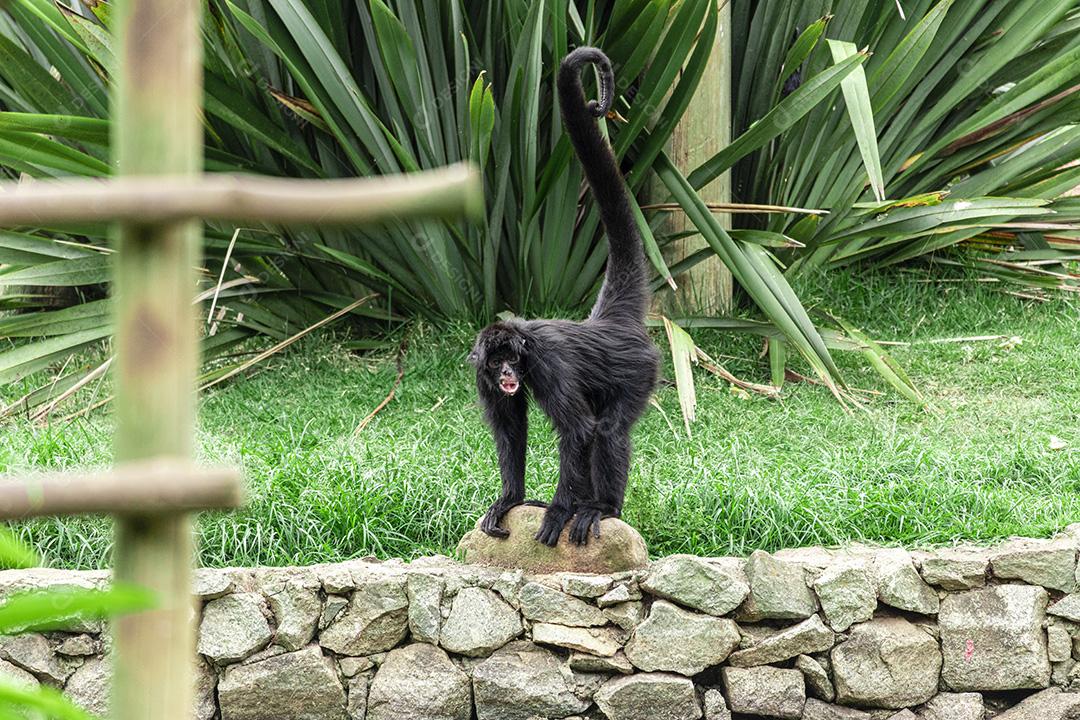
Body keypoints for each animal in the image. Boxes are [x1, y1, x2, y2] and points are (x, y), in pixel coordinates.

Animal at [468, 47, 659, 547]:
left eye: (513, 358)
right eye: (497, 362)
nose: (509, 373)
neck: (524, 350)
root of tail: (608, 323)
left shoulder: (548, 364)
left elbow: (579, 431)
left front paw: (558, 510)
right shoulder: (481, 376)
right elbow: (511, 428)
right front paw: (512, 498)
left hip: (640, 370)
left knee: (607, 429)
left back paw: (600, 507)